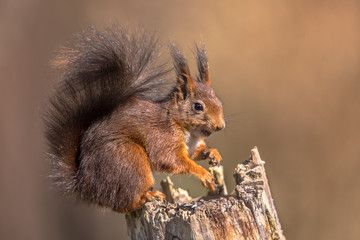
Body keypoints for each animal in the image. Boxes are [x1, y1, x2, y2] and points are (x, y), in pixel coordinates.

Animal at [45, 25, 225, 214]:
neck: (186, 128)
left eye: (219, 101)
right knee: (125, 203)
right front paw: (202, 173)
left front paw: (212, 153)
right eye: (198, 106)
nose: (220, 126)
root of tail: (85, 185)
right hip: (129, 160)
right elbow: (169, 160)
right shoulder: (163, 135)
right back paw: (147, 196)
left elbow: (193, 154)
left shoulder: (190, 146)